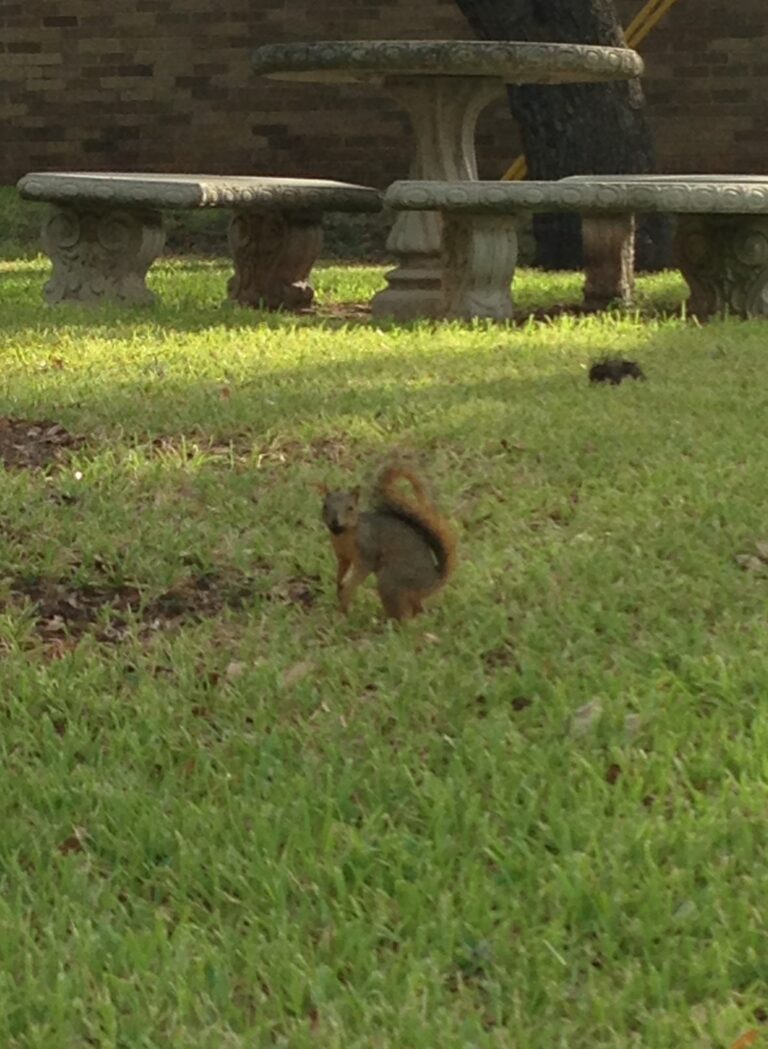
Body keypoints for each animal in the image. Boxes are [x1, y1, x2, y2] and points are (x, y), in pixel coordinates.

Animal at [319, 464, 457, 622]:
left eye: (350, 508)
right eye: (325, 506)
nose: (335, 522)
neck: (344, 535)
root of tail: (434, 580)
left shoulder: (367, 551)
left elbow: (361, 571)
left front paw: (347, 587)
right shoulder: (343, 556)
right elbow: (342, 569)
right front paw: (339, 583)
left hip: (391, 582)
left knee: (404, 617)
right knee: (417, 609)